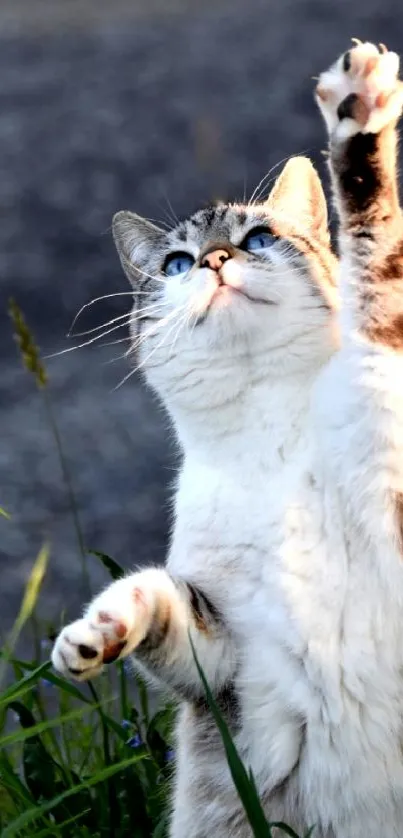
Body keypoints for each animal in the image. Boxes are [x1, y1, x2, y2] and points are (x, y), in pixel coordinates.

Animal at [51, 44, 403, 838]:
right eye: (178, 264)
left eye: (258, 240)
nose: (214, 260)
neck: (266, 429)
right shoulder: (228, 661)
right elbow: (159, 596)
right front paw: (96, 632)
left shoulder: (386, 403)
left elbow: (374, 253)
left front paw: (358, 114)